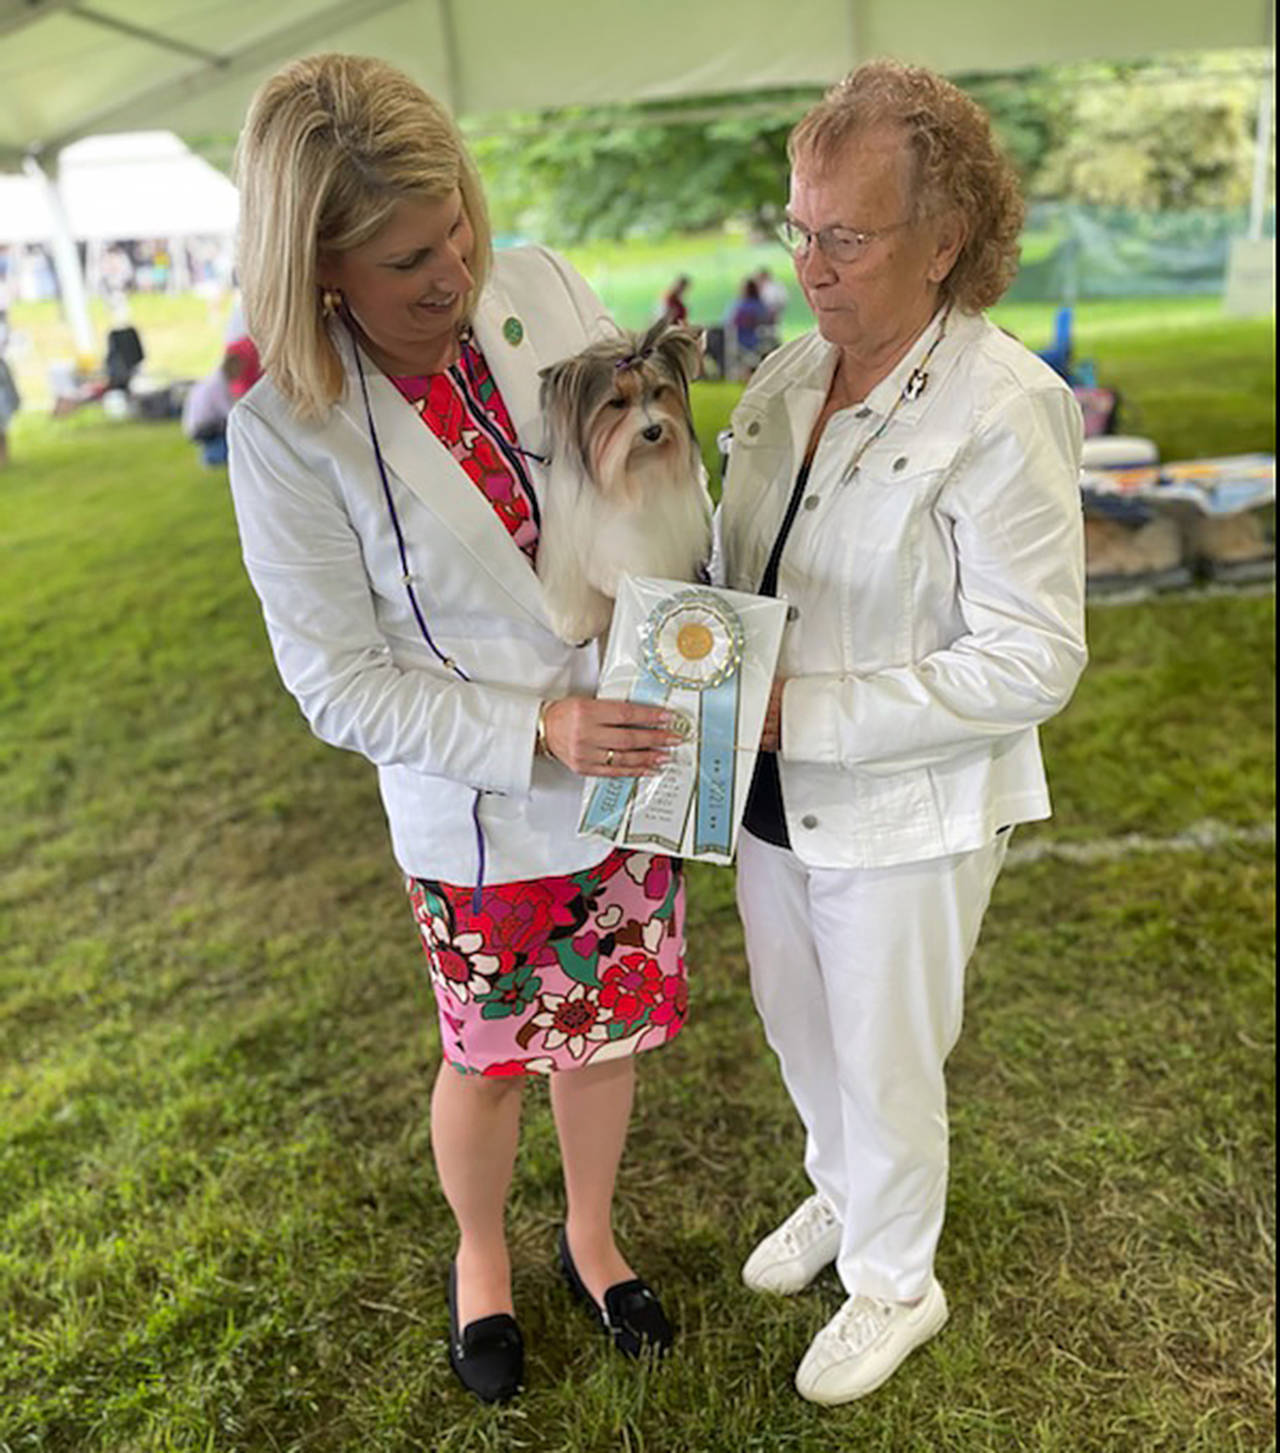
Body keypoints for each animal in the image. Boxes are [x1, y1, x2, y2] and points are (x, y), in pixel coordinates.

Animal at [528, 321, 709, 645]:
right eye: (617, 403)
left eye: (659, 391)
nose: (653, 430)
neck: (634, 466)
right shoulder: (570, 538)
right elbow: (577, 590)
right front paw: (575, 623)